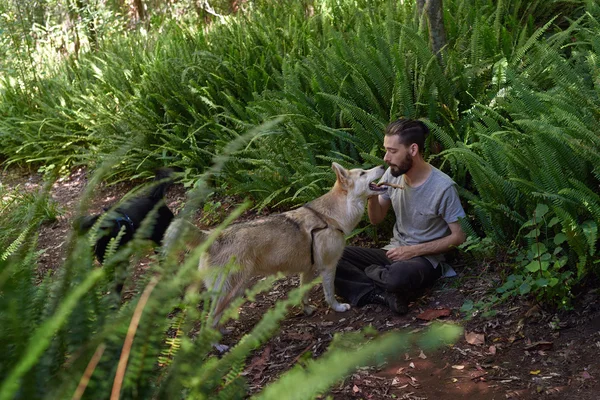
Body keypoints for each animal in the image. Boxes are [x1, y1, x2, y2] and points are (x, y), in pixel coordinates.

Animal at [165, 162, 384, 324]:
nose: (383, 164)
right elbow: (330, 295)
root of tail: (213, 236)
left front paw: (307, 310)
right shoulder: (328, 267)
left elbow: (303, 295)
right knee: (210, 321)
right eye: (363, 173)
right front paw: (338, 308)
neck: (330, 217)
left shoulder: (307, 270)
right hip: (231, 291)